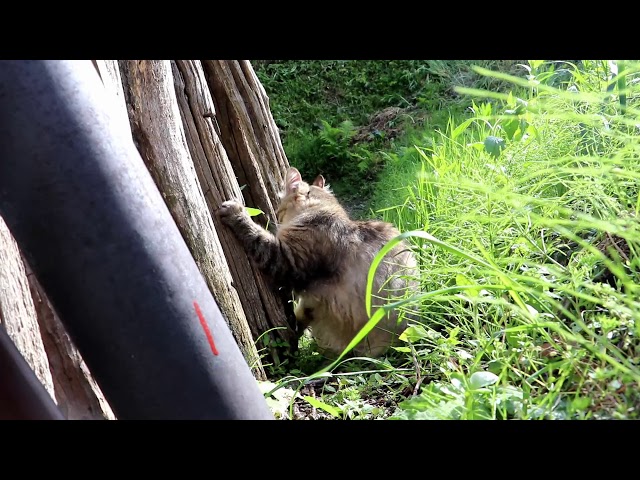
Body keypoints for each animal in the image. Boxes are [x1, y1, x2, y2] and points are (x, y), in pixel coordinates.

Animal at [218, 167, 418, 358]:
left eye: (279, 210)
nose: (276, 216)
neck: (321, 211)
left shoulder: (289, 261)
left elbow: (257, 235)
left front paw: (235, 212)